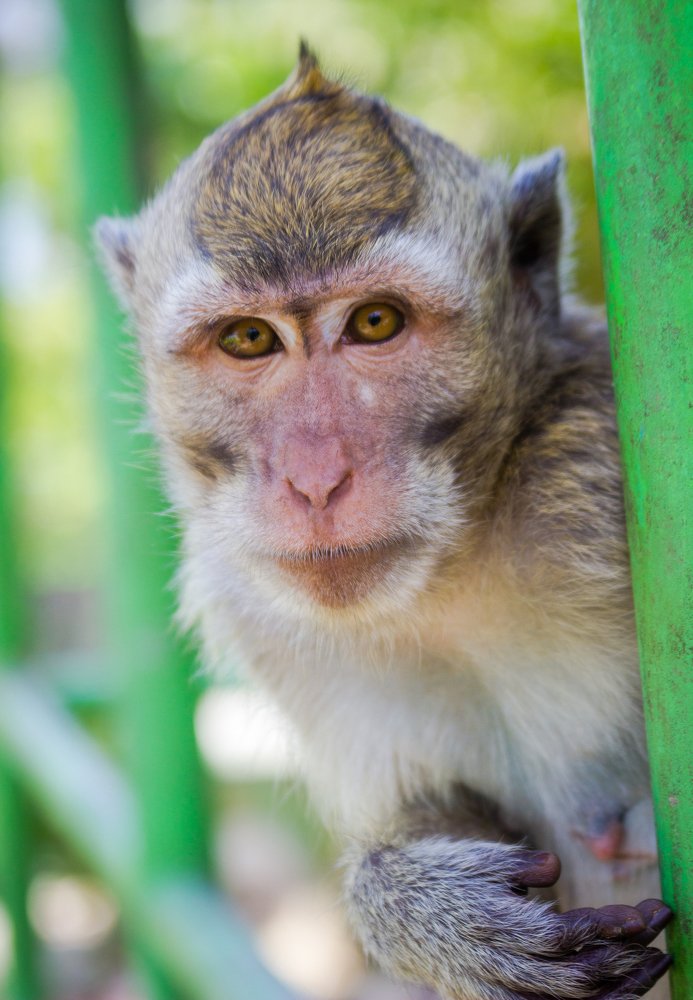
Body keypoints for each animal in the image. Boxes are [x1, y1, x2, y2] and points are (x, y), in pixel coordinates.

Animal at [96, 47, 673, 1000]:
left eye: (374, 322)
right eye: (248, 338)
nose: (315, 480)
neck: (453, 567)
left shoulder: (587, 467)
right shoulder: (262, 618)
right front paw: (424, 912)